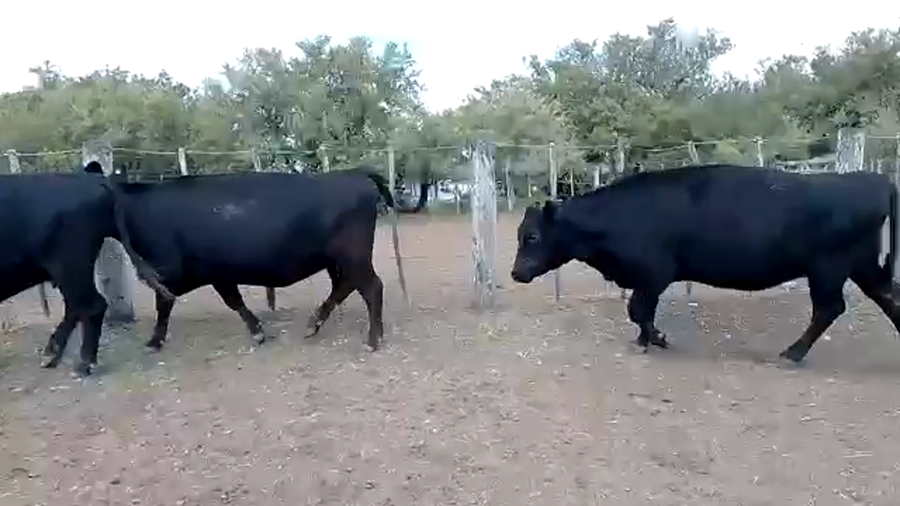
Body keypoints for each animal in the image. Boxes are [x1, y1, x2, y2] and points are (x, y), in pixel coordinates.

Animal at [1, 167, 173, 377]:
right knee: (76, 306)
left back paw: (83, 363)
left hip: (71, 264)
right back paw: (53, 353)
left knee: (91, 305)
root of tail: (91, 178)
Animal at [93, 167, 418, 353]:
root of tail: (352, 174)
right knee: (346, 286)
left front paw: (154, 341)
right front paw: (258, 331)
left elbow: (165, 305)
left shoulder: (168, 272)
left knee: (371, 287)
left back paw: (372, 340)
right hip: (341, 259)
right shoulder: (216, 273)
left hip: (352, 255)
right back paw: (315, 324)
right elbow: (233, 301)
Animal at [511, 164, 900, 363]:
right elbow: (641, 312)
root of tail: (871, 178)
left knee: (829, 309)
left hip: (828, 269)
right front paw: (646, 339)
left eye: (532, 236)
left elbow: (637, 310)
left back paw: (792, 353)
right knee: (888, 295)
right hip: (861, 265)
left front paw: (657, 339)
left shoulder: (654, 274)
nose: (516, 272)